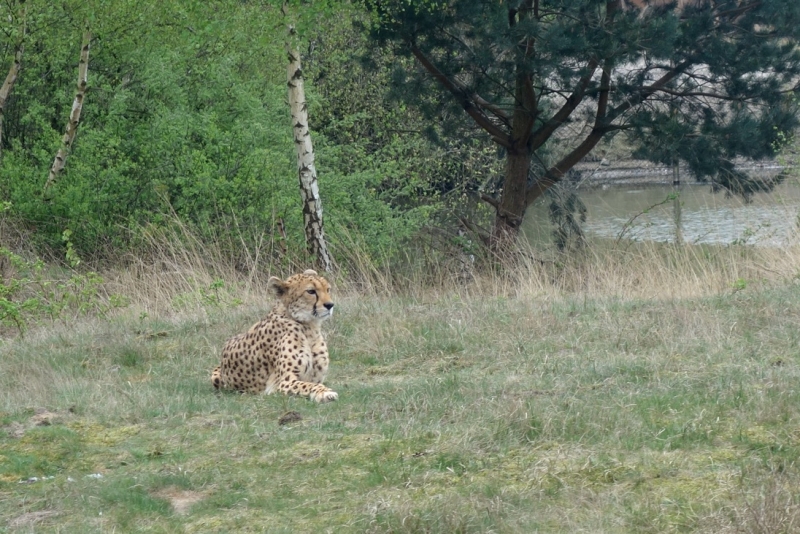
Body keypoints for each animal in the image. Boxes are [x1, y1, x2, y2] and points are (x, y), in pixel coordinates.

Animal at [209, 272, 338, 402]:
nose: (330, 305)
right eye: (311, 291)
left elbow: (313, 383)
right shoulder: (282, 383)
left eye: (328, 289)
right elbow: (308, 385)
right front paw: (325, 392)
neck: (309, 328)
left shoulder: (315, 377)